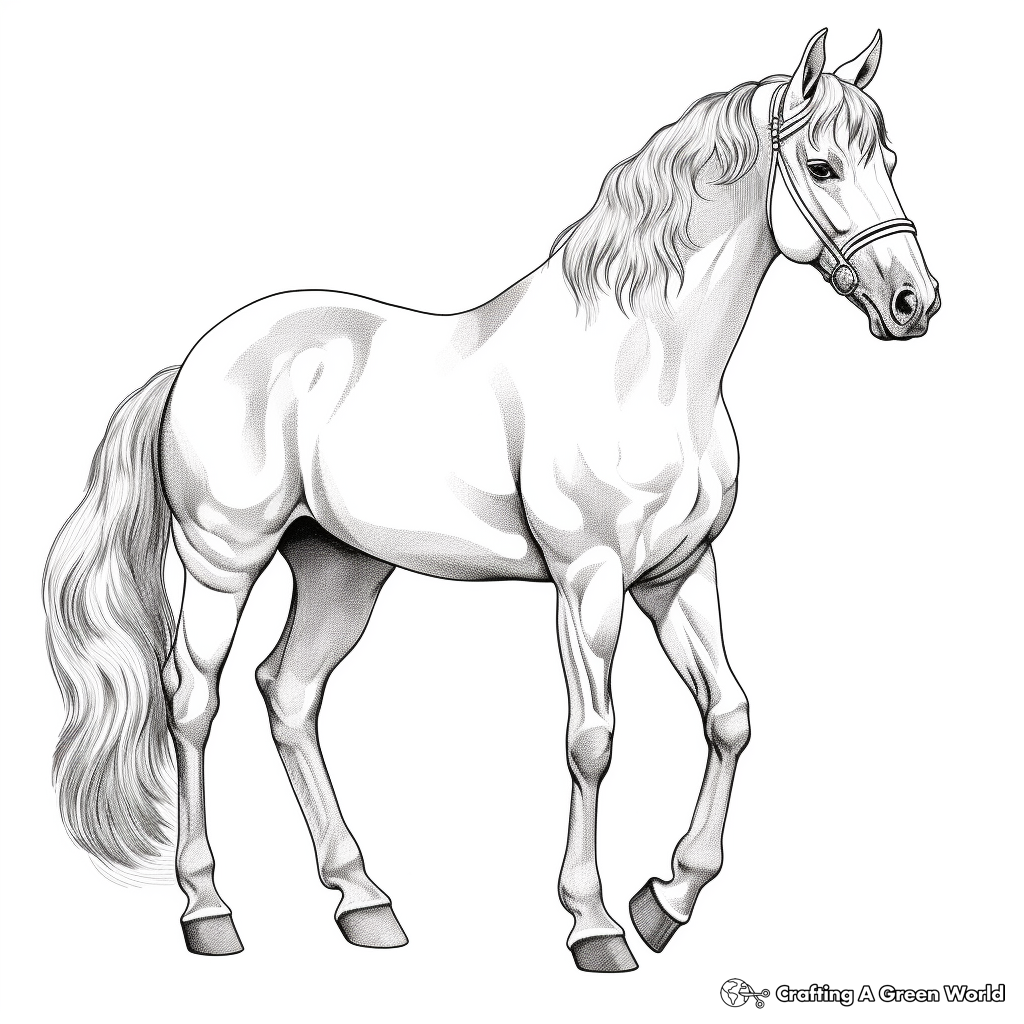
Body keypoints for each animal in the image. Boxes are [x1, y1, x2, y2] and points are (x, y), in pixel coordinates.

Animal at [43, 28, 939, 972]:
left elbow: (729, 716)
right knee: (191, 701)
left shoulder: (679, 572)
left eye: (888, 158)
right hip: (225, 564)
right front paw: (594, 924)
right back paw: (210, 911)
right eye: (822, 165)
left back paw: (365, 902)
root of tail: (195, 360)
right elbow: (591, 740)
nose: (914, 302)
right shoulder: (589, 580)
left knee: (289, 693)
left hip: (339, 569)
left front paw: (667, 899)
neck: (644, 365)